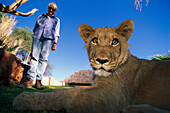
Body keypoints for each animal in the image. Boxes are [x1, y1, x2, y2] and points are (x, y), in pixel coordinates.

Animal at [12, 19, 169, 113]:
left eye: (115, 42)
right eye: (94, 40)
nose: (101, 60)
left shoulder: (112, 96)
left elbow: (68, 95)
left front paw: (23, 98)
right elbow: (62, 91)